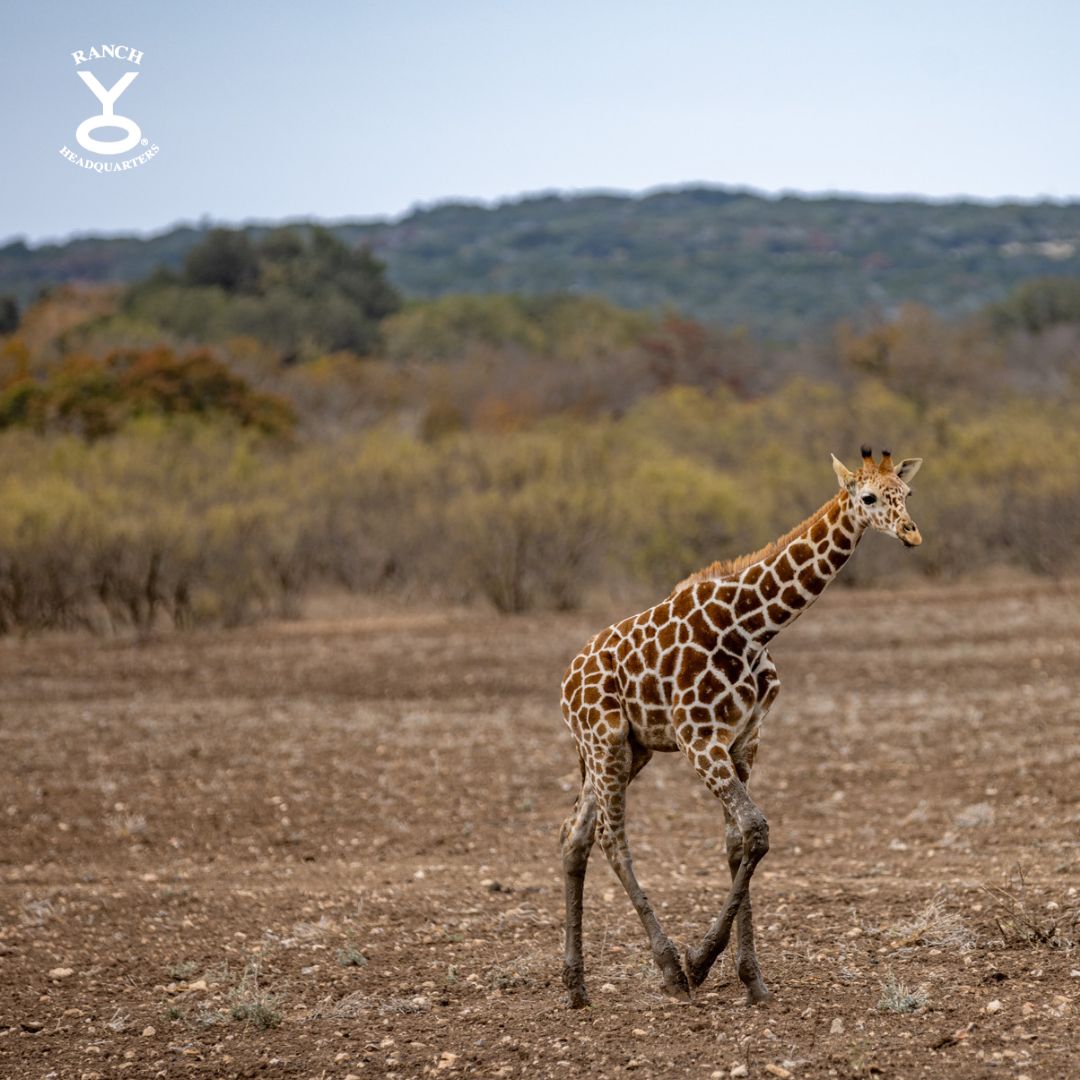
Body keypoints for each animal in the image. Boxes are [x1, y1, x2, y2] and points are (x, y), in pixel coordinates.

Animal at [558, 446, 923, 1008]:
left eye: (905, 494)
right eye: (867, 497)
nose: (910, 532)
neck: (752, 625)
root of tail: (566, 681)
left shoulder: (744, 739)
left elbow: (739, 842)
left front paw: (752, 979)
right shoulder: (698, 738)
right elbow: (756, 829)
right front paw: (700, 962)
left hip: (630, 750)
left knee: (574, 835)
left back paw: (576, 986)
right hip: (605, 740)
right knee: (610, 837)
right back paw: (668, 967)